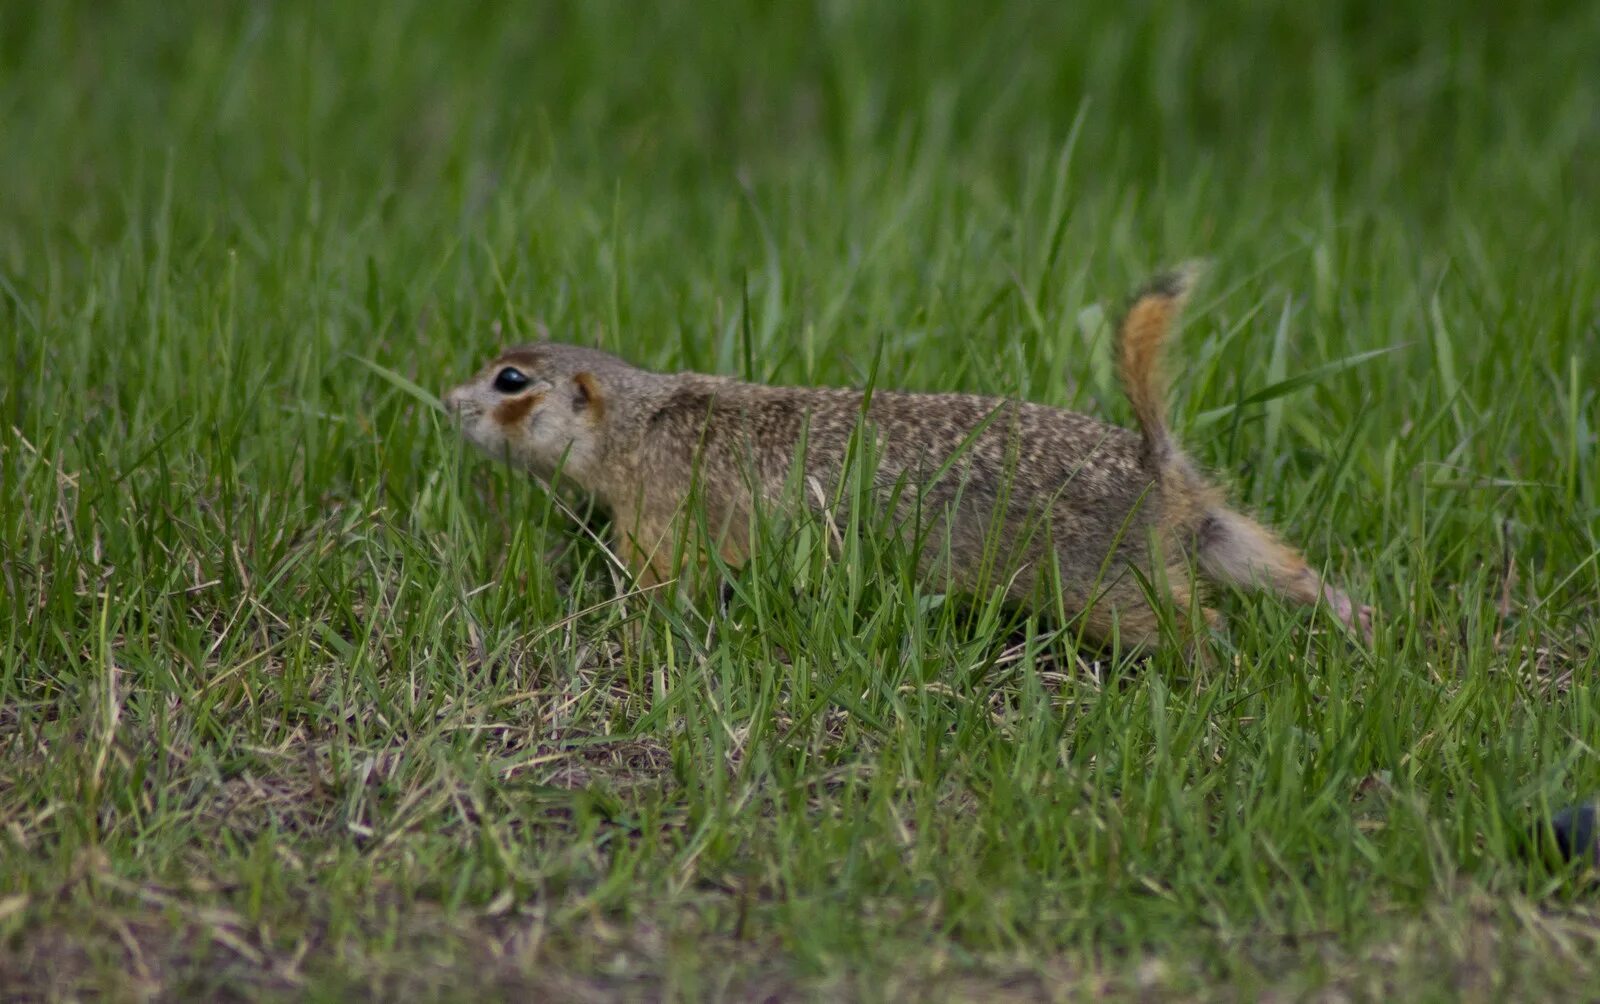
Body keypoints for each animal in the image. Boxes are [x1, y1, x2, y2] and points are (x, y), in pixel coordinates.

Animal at [444, 266, 1369, 652]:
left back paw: (1209, 666)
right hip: (1214, 531)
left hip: (1106, 580)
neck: (638, 421)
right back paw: (1358, 619)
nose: (447, 403)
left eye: (510, 380)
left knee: (1191, 620)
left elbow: (660, 579)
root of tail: (1154, 465)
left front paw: (613, 618)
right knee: (1282, 566)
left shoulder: (660, 518)